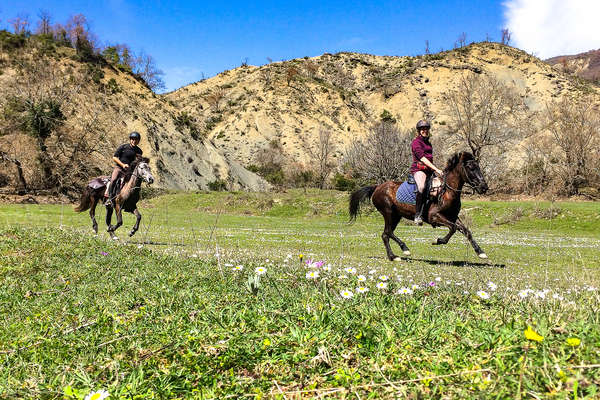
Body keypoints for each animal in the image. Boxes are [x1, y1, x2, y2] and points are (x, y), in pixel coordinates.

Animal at [350, 152, 490, 260]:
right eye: (471, 168)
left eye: (478, 167)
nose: (484, 187)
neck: (447, 191)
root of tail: (377, 187)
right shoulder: (435, 216)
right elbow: (453, 228)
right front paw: (438, 241)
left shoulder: (453, 216)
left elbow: (466, 231)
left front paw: (480, 252)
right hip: (388, 212)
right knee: (388, 232)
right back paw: (402, 250)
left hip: (396, 215)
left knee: (386, 234)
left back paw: (394, 255)